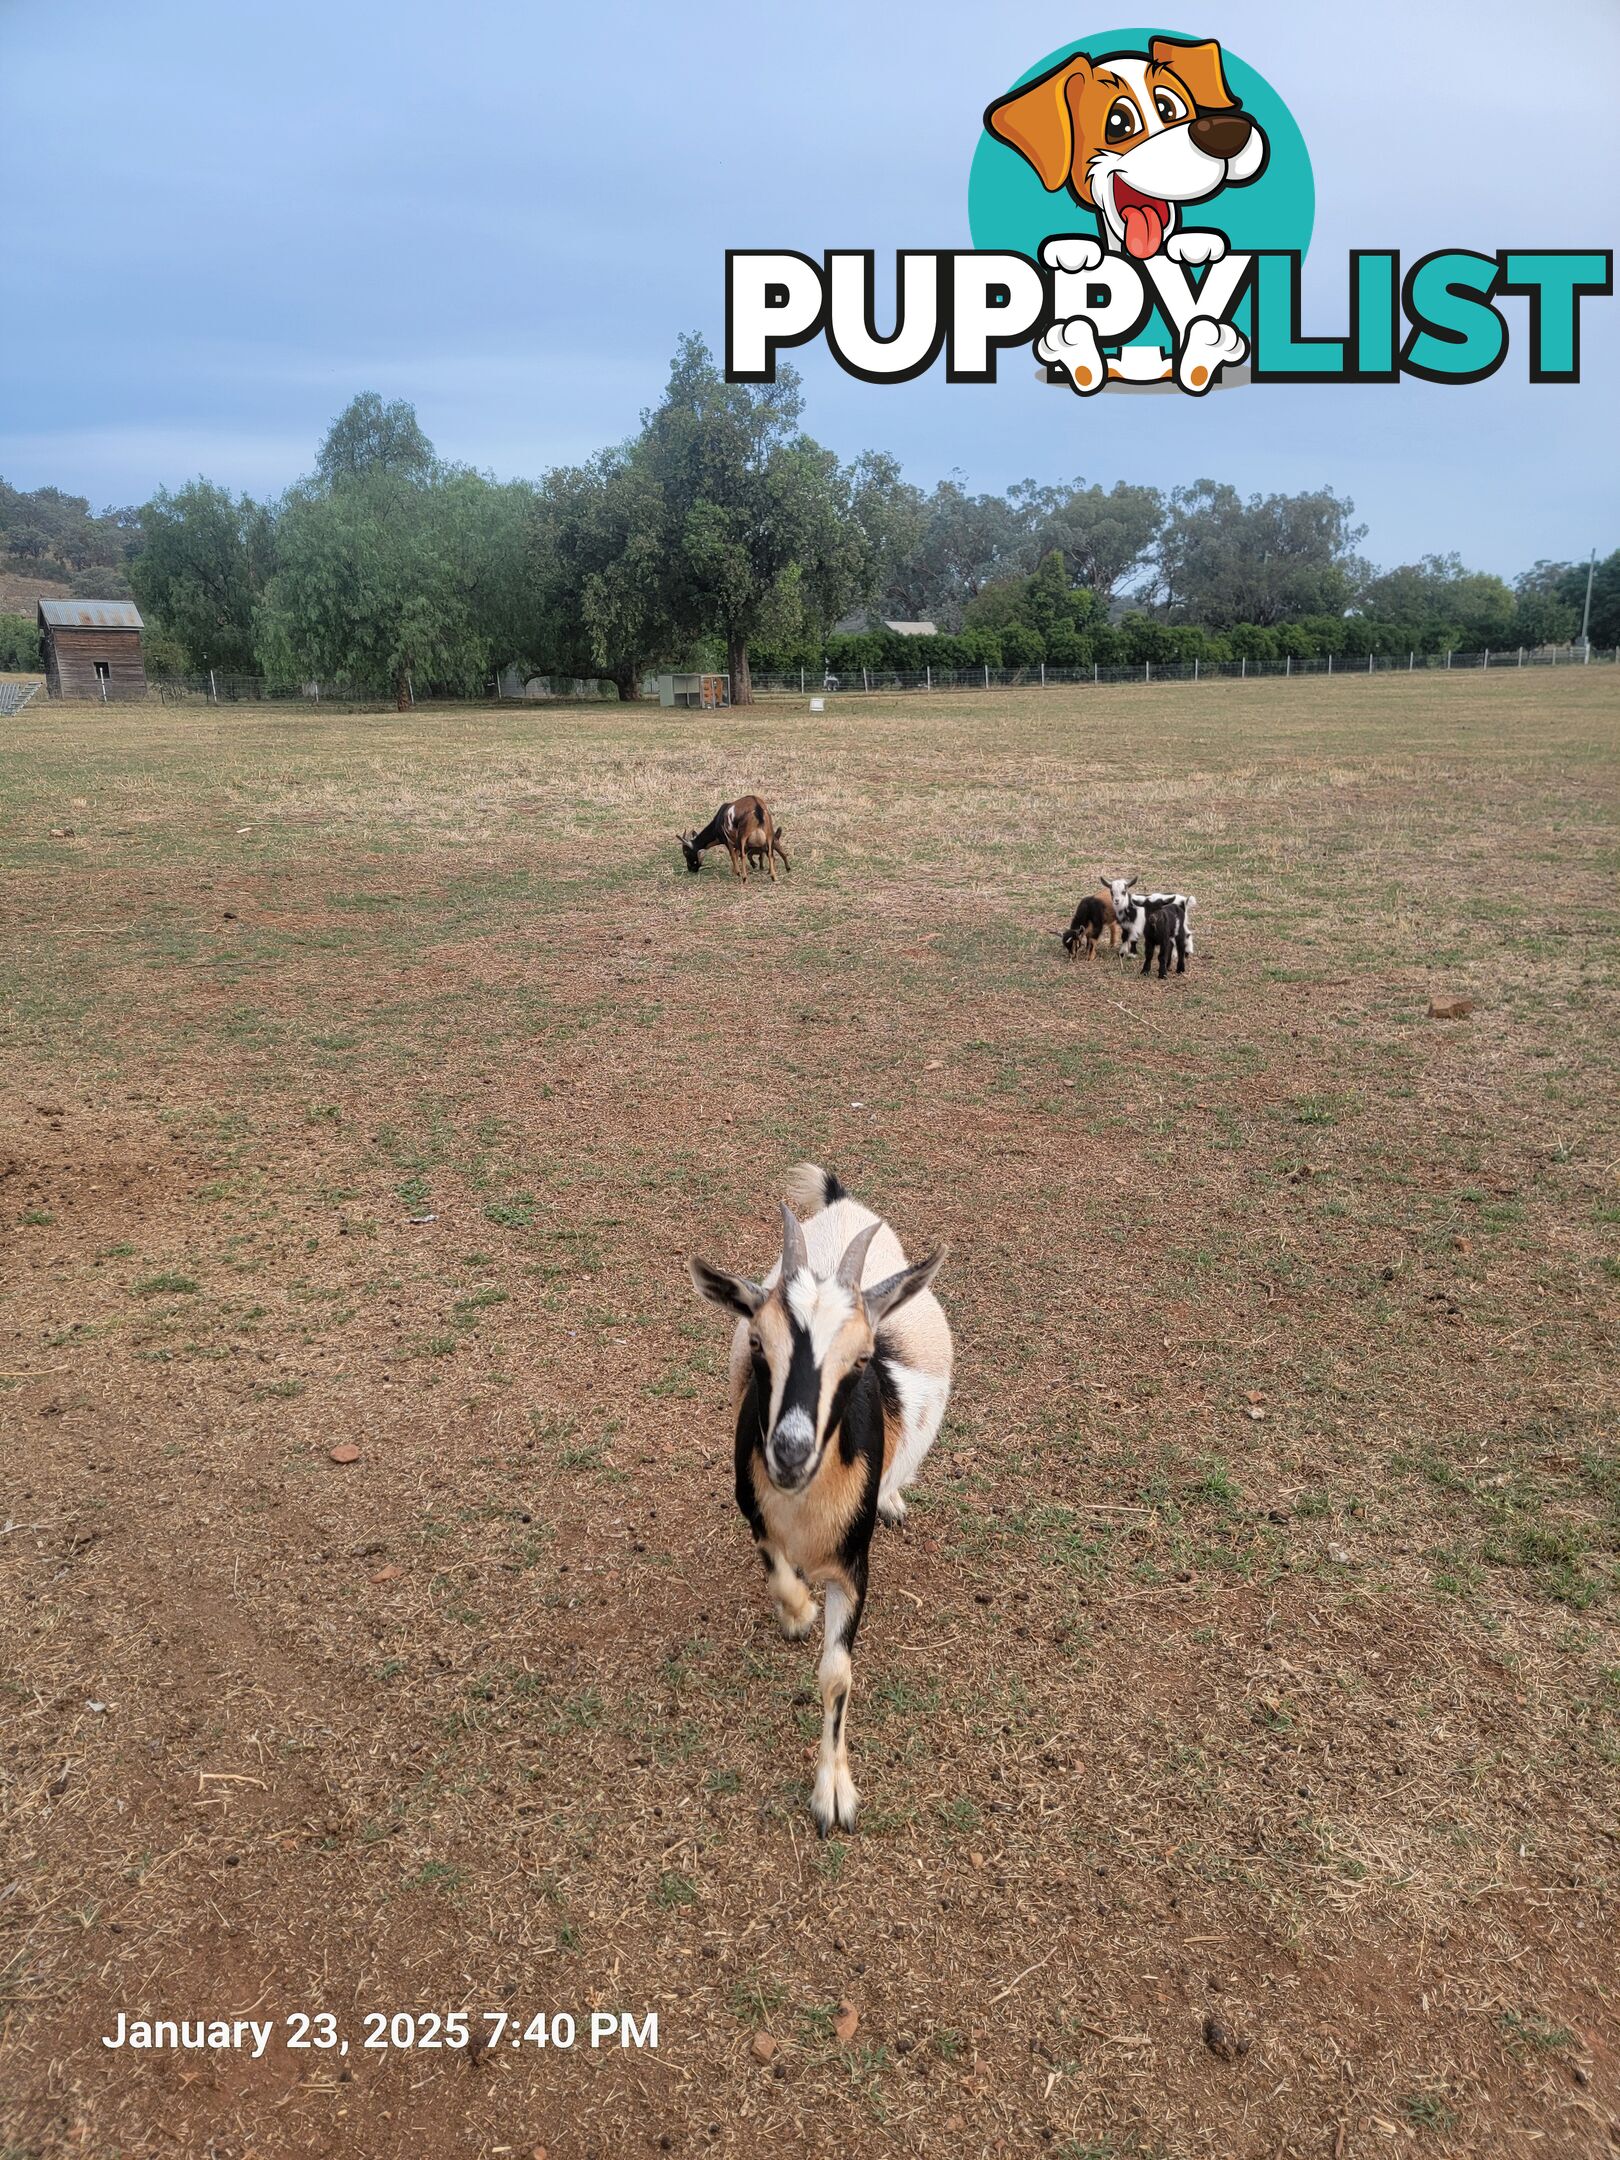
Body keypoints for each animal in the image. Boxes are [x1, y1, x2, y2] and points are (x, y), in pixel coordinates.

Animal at [686, 1166, 950, 1840]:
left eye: (861, 1359)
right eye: (759, 1343)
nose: (790, 1452)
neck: (804, 1506)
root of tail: (841, 1203)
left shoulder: (854, 1566)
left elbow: (836, 1675)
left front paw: (834, 1794)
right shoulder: (755, 1508)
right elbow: (779, 1575)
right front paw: (799, 1613)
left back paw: (893, 1499)